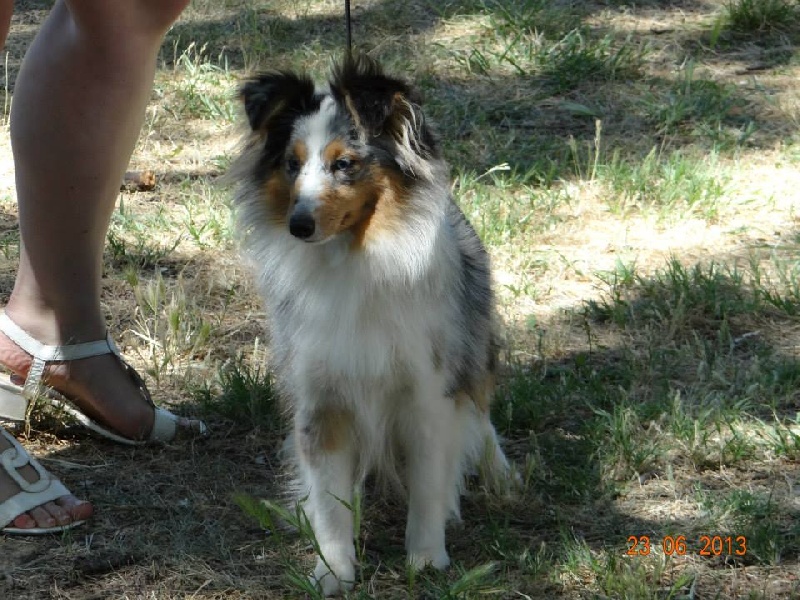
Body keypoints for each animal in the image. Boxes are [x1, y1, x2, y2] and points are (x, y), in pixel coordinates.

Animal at [228, 55, 516, 596]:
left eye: (344, 164)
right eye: (291, 164)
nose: (299, 226)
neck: (354, 259)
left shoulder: (428, 392)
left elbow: (428, 482)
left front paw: (426, 558)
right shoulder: (321, 400)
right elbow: (331, 501)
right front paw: (333, 570)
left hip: (474, 341)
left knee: (481, 408)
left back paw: (501, 473)